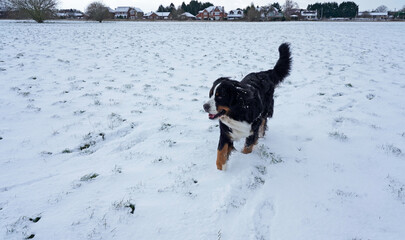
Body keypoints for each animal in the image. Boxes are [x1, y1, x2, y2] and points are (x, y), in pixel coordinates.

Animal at [202, 43, 290, 171]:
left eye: (220, 96)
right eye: (211, 94)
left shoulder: (252, 130)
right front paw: (221, 171)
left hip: (266, 110)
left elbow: (247, 148)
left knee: (264, 122)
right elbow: (220, 154)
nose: (204, 106)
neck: (237, 113)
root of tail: (264, 73)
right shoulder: (226, 133)